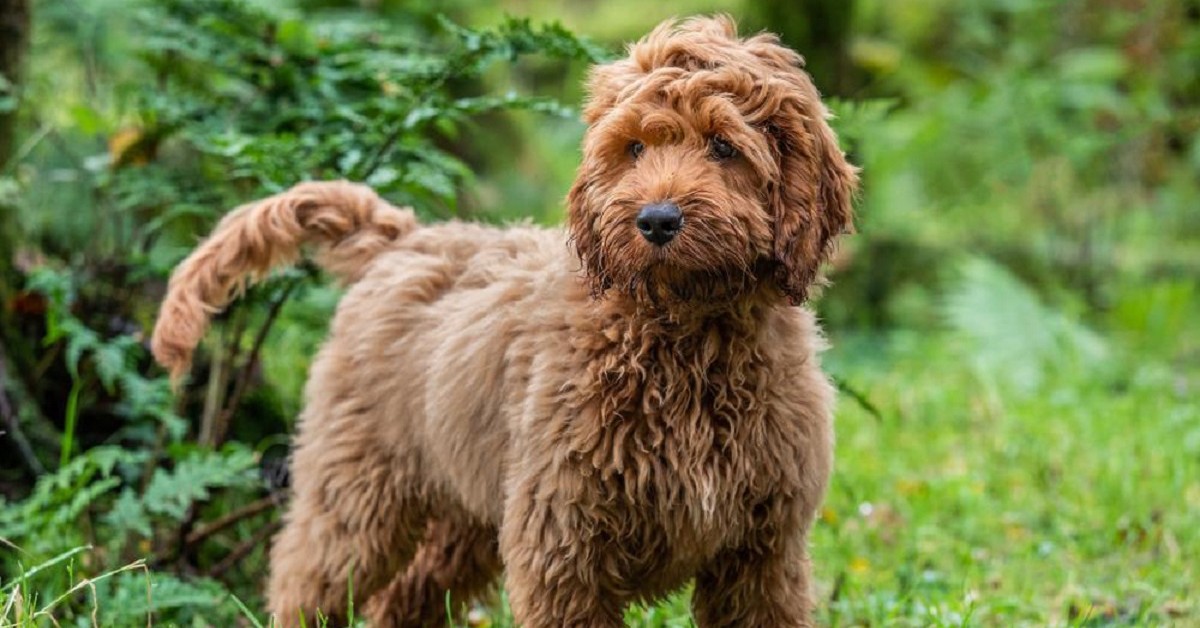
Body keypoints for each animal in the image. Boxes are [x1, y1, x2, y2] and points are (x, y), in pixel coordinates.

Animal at [154, 14, 859, 628]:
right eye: (633, 148)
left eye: (723, 146)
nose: (657, 221)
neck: (683, 336)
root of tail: (404, 237)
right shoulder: (563, 543)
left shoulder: (762, 556)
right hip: (356, 492)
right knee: (306, 582)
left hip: (465, 514)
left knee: (402, 601)